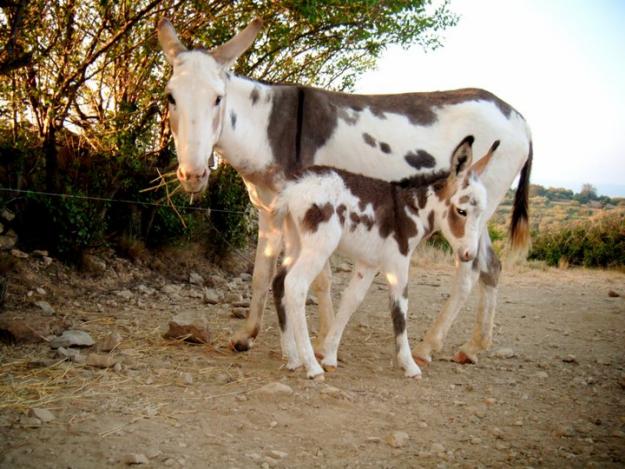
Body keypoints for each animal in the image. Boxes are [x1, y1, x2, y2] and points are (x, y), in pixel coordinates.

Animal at [272, 134, 498, 376]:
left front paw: (330, 355)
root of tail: (294, 187)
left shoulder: (368, 264)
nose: (468, 254)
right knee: (296, 285)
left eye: (481, 213)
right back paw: (312, 367)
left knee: (279, 282)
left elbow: (351, 301)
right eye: (461, 211)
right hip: (319, 247)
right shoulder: (398, 262)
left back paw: (293, 357)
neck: (412, 209)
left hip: (295, 242)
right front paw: (409, 365)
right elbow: (400, 308)